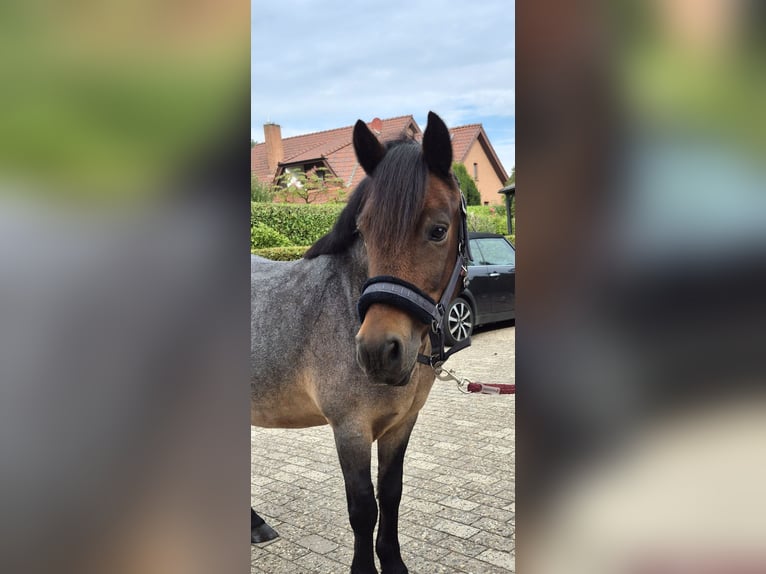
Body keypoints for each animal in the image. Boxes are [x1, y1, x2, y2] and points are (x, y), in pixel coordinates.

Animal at [251, 111, 471, 574]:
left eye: (439, 230)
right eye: (364, 231)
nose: (377, 352)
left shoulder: (401, 424)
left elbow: (390, 495)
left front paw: (394, 563)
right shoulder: (349, 429)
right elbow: (362, 508)